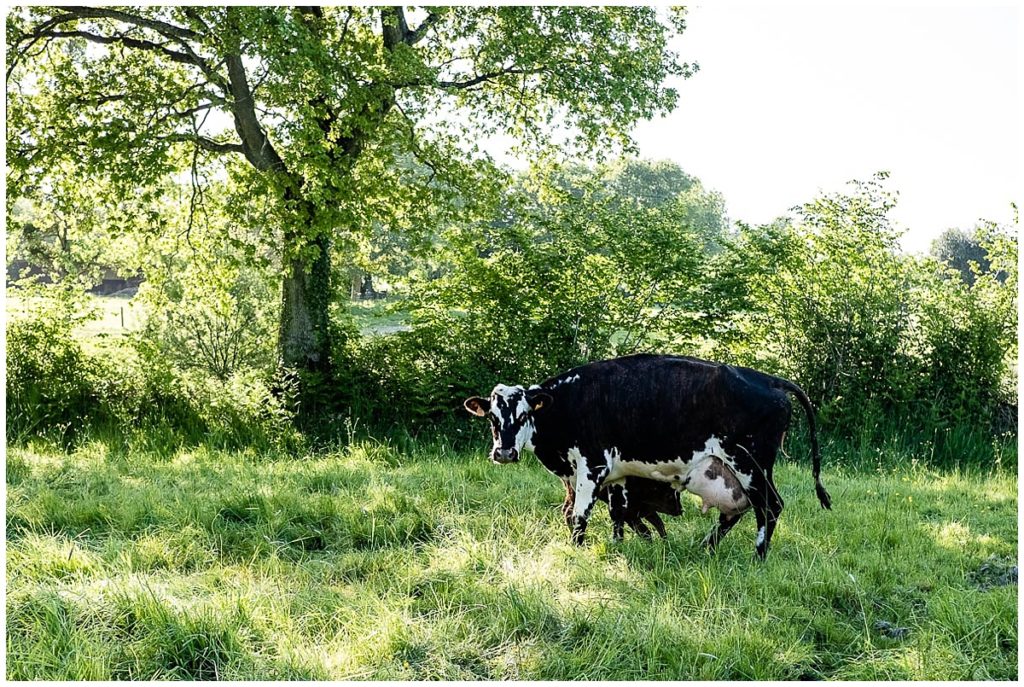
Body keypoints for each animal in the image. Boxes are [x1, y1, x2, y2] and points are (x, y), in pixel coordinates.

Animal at [464, 354, 831, 556]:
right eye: (493, 418)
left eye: (524, 414)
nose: (504, 451)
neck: (567, 404)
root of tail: (768, 379)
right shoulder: (618, 474)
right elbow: (617, 513)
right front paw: (616, 546)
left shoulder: (592, 466)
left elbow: (579, 516)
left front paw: (577, 552)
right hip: (732, 470)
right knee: (737, 510)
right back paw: (705, 548)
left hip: (749, 462)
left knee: (769, 506)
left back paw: (758, 556)